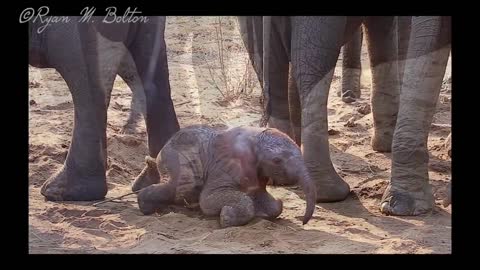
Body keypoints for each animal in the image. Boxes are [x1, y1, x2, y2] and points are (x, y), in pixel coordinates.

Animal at [133, 125, 316, 227]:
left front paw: (267, 209)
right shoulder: (224, 167)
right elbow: (208, 200)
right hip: (178, 161)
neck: (254, 138)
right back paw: (146, 207)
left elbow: (273, 205)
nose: (303, 222)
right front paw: (226, 217)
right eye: (277, 160)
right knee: (180, 188)